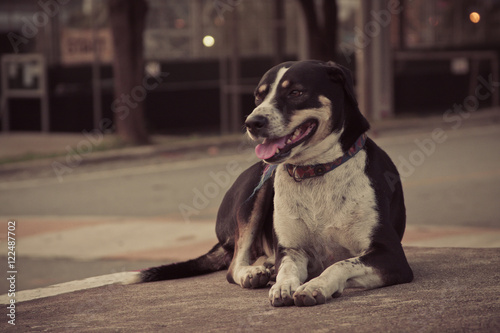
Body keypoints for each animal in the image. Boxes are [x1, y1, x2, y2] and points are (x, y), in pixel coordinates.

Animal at [131, 60, 412, 306]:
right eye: (258, 96)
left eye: (296, 92)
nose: (252, 122)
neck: (316, 171)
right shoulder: (292, 251)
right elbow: (286, 269)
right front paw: (283, 285)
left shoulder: (391, 255)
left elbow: (339, 264)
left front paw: (315, 285)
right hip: (256, 191)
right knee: (233, 266)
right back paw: (253, 272)